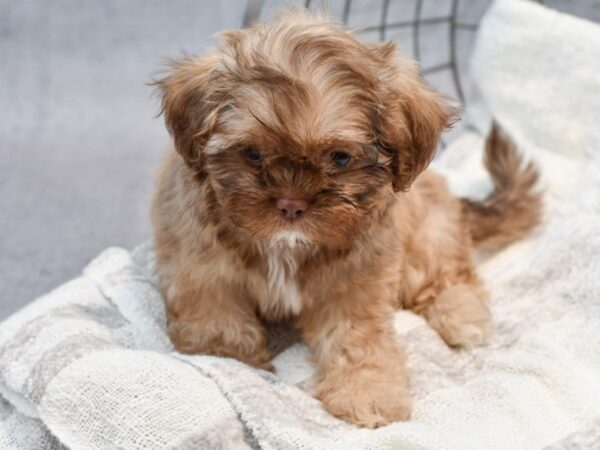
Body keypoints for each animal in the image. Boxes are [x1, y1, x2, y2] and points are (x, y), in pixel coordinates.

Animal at [151, 12, 544, 428]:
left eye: (339, 158)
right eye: (253, 153)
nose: (291, 204)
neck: (285, 246)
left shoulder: (356, 281)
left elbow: (357, 337)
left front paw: (368, 391)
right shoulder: (201, 270)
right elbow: (217, 323)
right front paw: (236, 359)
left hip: (428, 235)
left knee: (448, 276)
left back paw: (463, 314)